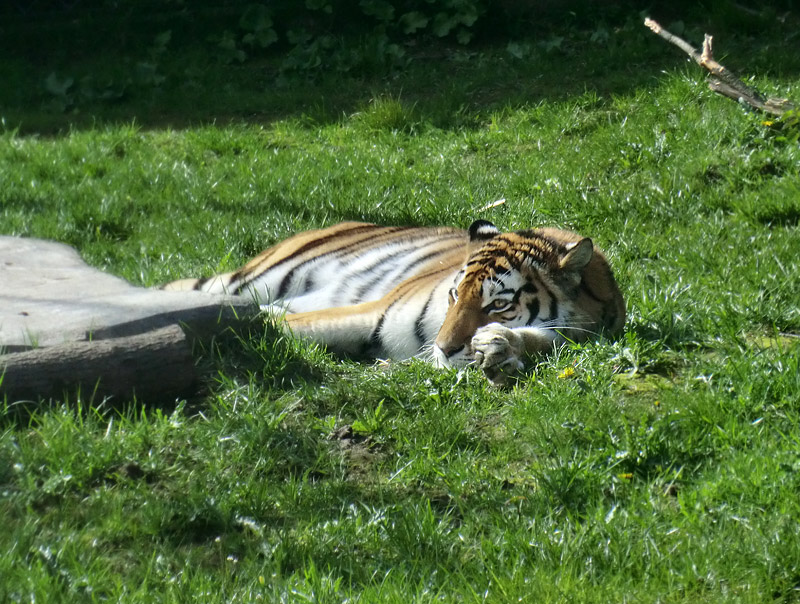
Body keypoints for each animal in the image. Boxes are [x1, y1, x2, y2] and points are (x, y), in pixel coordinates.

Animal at [162, 219, 624, 384]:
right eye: (455, 294)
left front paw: (499, 348)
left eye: (497, 305)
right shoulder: (365, 313)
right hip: (254, 279)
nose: (444, 348)